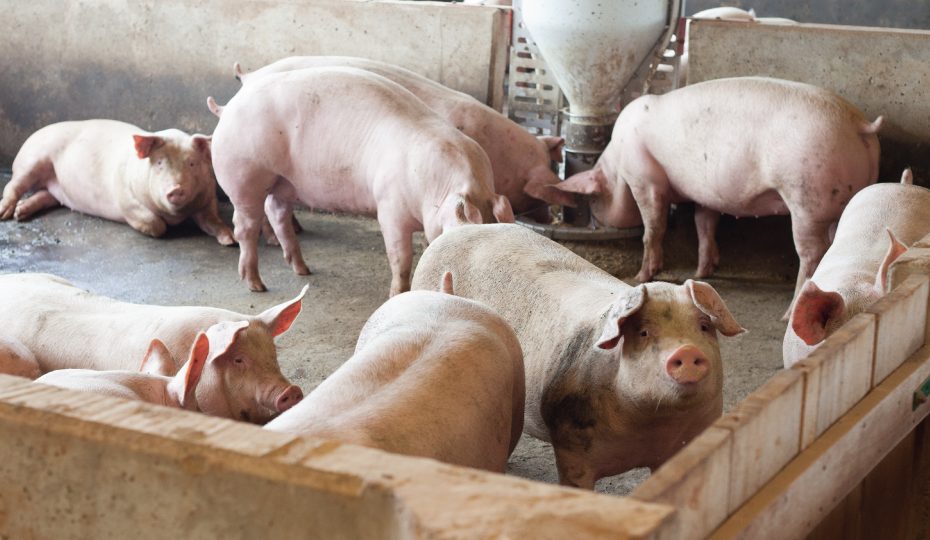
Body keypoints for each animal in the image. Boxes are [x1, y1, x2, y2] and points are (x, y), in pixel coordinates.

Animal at [0, 120, 234, 245]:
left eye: (192, 163)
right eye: (159, 163)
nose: (175, 189)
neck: (176, 215)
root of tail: (35, 133)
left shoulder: (208, 197)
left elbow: (213, 220)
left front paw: (230, 239)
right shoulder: (125, 197)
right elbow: (154, 222)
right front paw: (162, 228)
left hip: (56, 187)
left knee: (45, 195)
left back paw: (20, 213)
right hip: (31, 160)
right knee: (14, 184)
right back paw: (6, 214)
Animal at [209, 66, 514, 296]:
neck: (437, 188)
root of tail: (228, 108)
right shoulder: (389, 207)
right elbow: (401, 259)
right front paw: (396, 294)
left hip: (283, 182)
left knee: (277, 213)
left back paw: (303, 269)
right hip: (244, 175)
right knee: (245, 227)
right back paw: (256, 285)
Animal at [411, 223, 744, 488]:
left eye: (704, 327)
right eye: (644, 332)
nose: (686, 351)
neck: (650, 428)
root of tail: (461, 226)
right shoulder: (572, 447)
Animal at [555, 77, 882, 315]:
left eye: (594, 199)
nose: (596, 221)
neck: (617, 166)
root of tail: (858, 124)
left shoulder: (645, 180)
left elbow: (653, 228)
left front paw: (642, 276)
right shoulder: (705, 196)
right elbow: (705, 225)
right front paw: (704, 270)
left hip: (805, 198)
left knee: (811, 253)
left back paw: (788, 314)